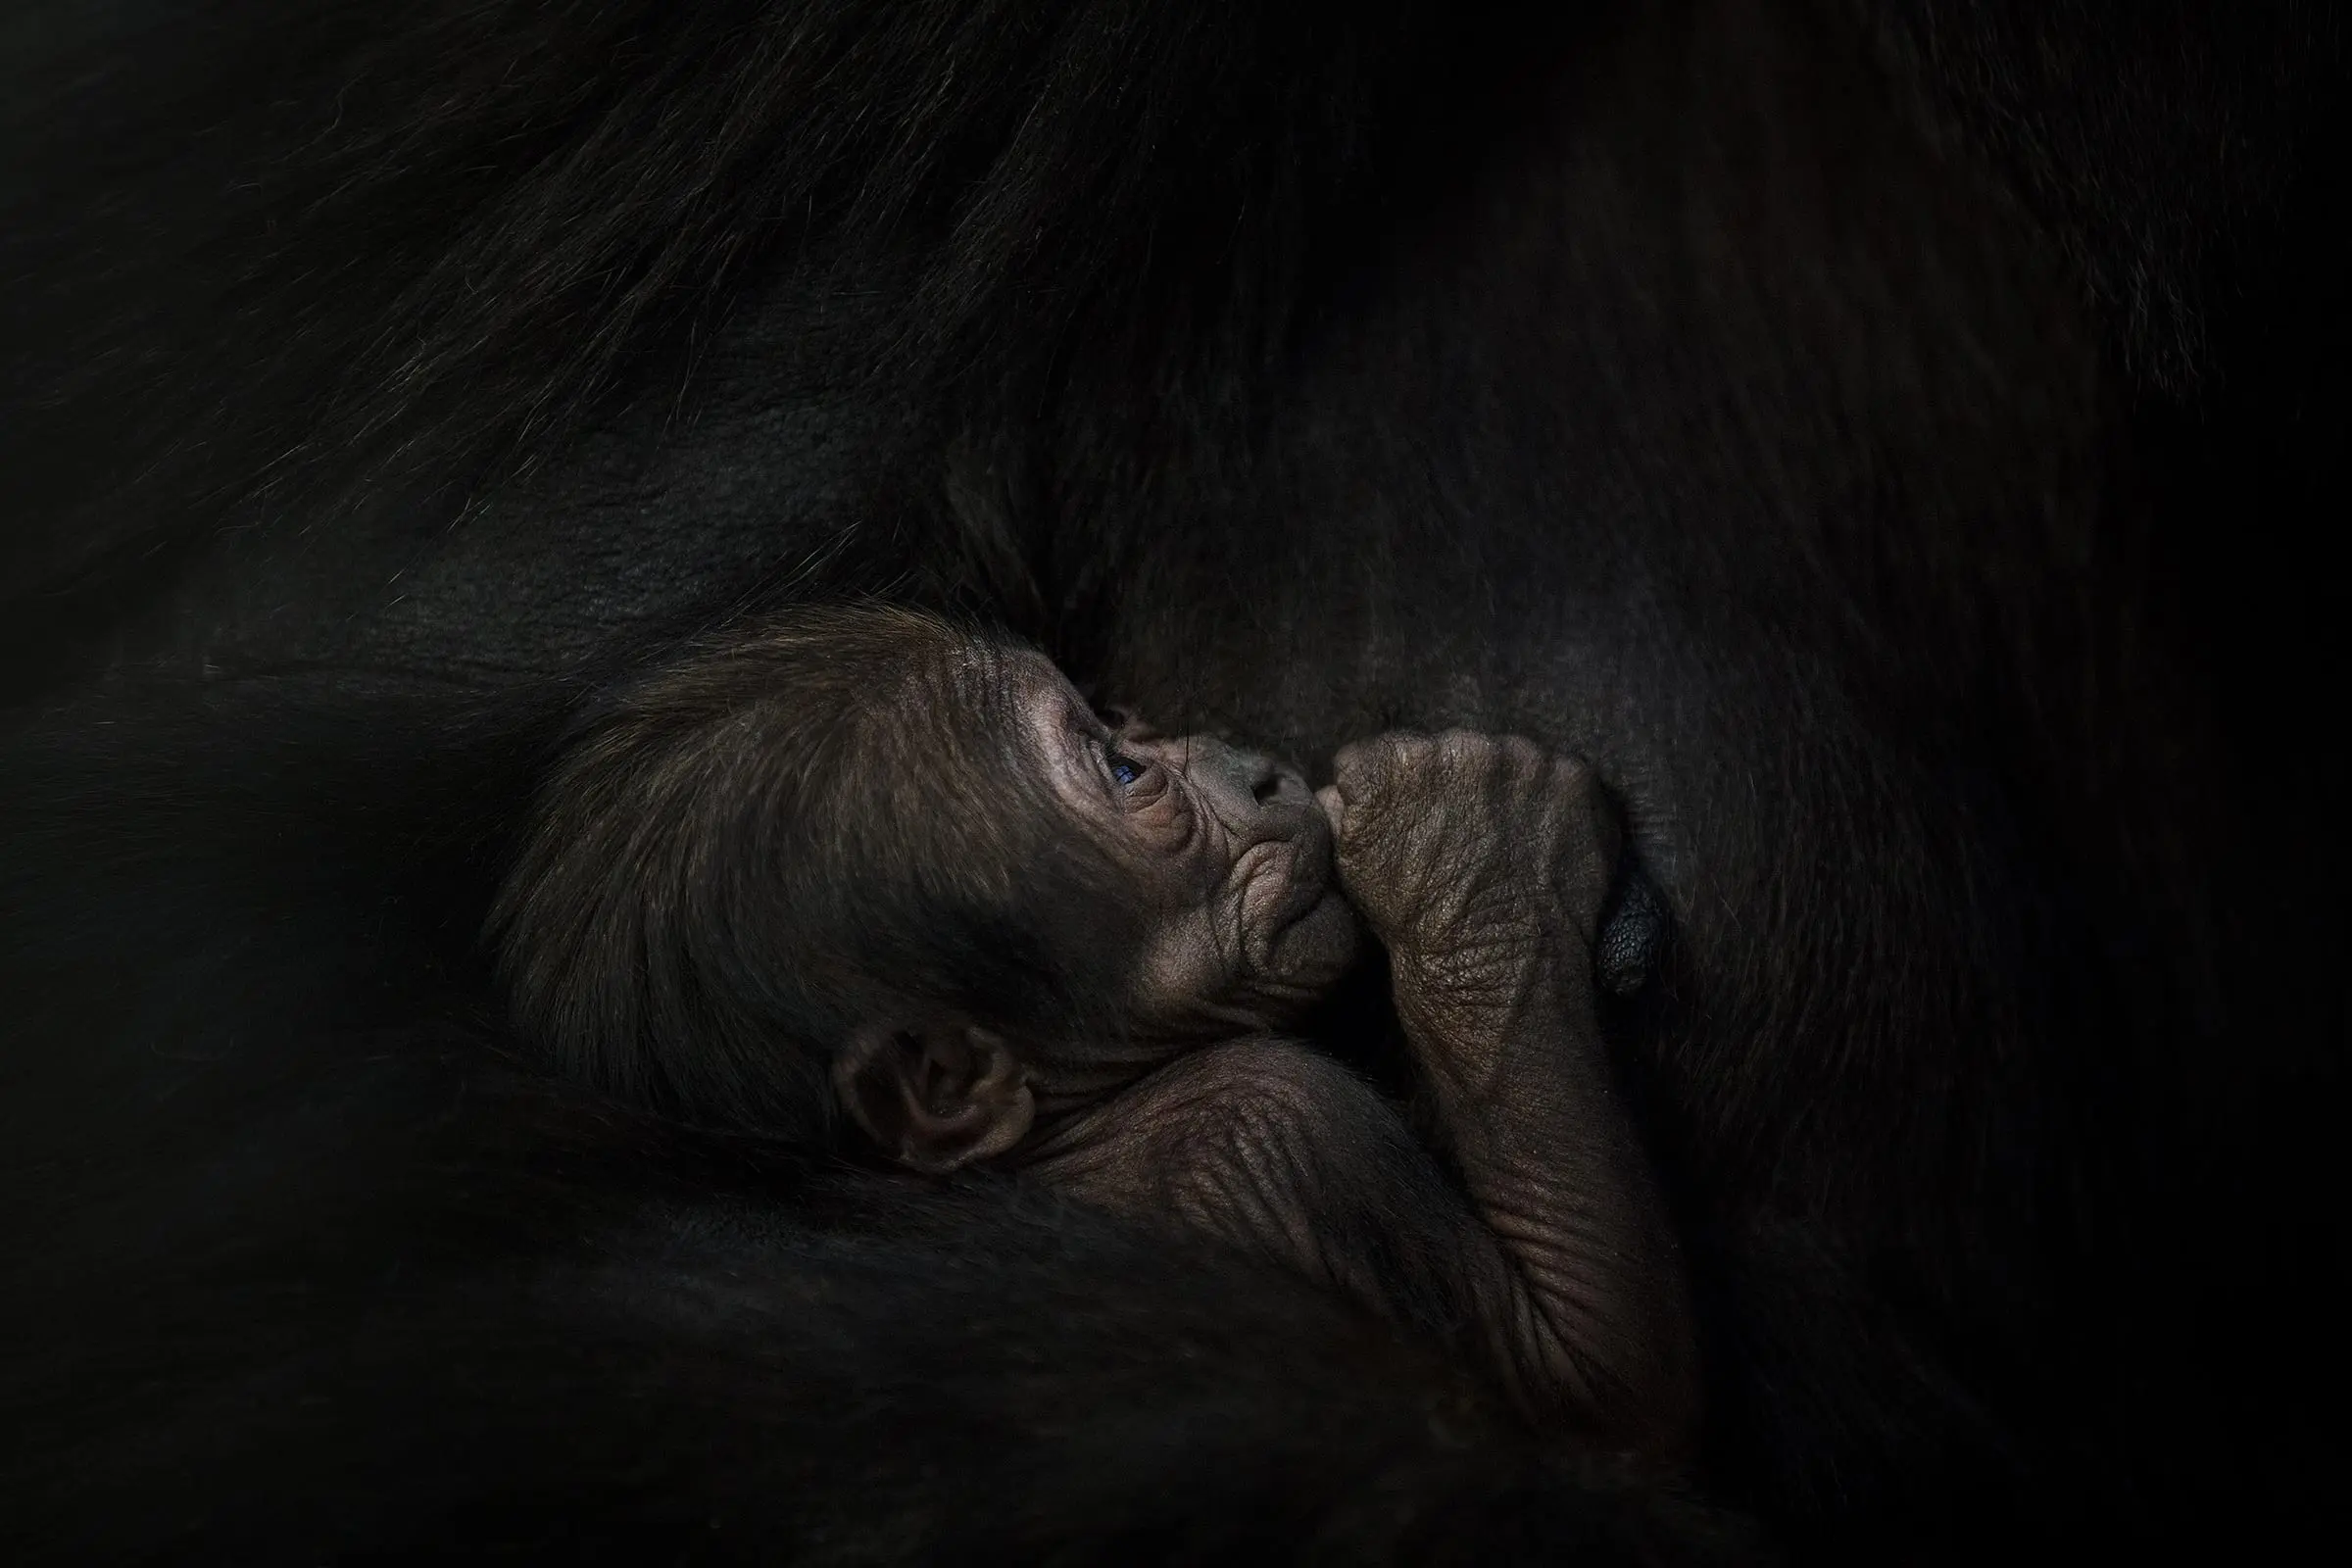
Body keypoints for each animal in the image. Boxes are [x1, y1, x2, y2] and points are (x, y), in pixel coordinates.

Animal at [490, 604, 1698, 1459]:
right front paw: (1478, 867)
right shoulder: (1274, 1128)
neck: (1066, 1126)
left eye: (1121, 726)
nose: (1260, 769)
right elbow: (1586, 1384)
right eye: (1123, 771)